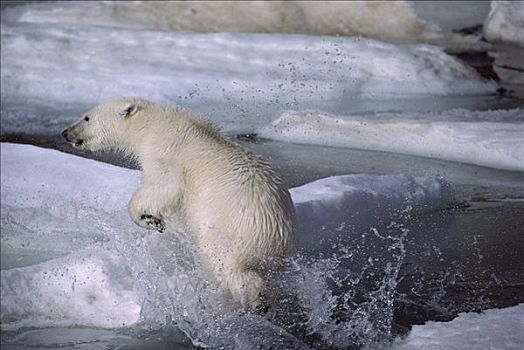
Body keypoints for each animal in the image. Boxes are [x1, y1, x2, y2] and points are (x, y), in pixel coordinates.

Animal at [61, 96, 298, 312]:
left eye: (87, 117)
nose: (65, 133)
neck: (153, 125)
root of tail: (277, 231)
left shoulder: (166, 154)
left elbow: (164, 186)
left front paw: (149, 219)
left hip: (229, 230)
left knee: (226, 266)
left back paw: (247, 299)